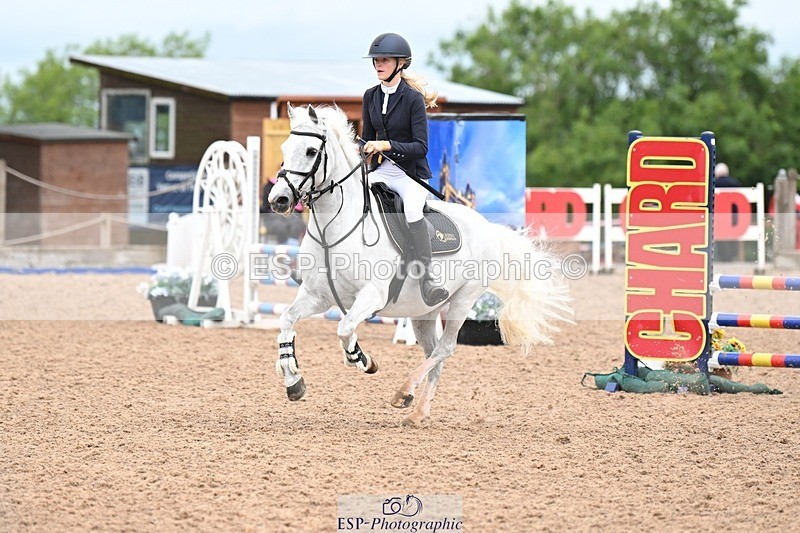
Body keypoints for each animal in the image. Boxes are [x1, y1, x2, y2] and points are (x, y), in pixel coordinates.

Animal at [268, 104, 573, 426]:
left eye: (311, 151)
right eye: (285, 147)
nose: (278, 200)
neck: (334, 228)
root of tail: (487, 226)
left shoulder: (372, 295)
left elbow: (344, 328)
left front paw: (361, 359)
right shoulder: (317, 296)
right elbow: (287, 320)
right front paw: (293, 379)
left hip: (464, 299)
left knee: (445, 348)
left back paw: (403, 392)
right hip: (423, 313)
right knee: (432, 353)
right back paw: (417, 410)